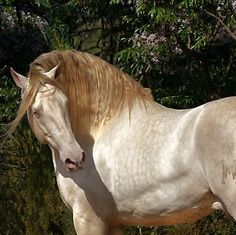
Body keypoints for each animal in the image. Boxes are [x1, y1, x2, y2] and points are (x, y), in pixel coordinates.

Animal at [8, 49, 236, 233]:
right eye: (36, 111)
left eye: (65, 103)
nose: (75, 159)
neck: (100, 129)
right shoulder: (115, 223)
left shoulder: (88, 220)